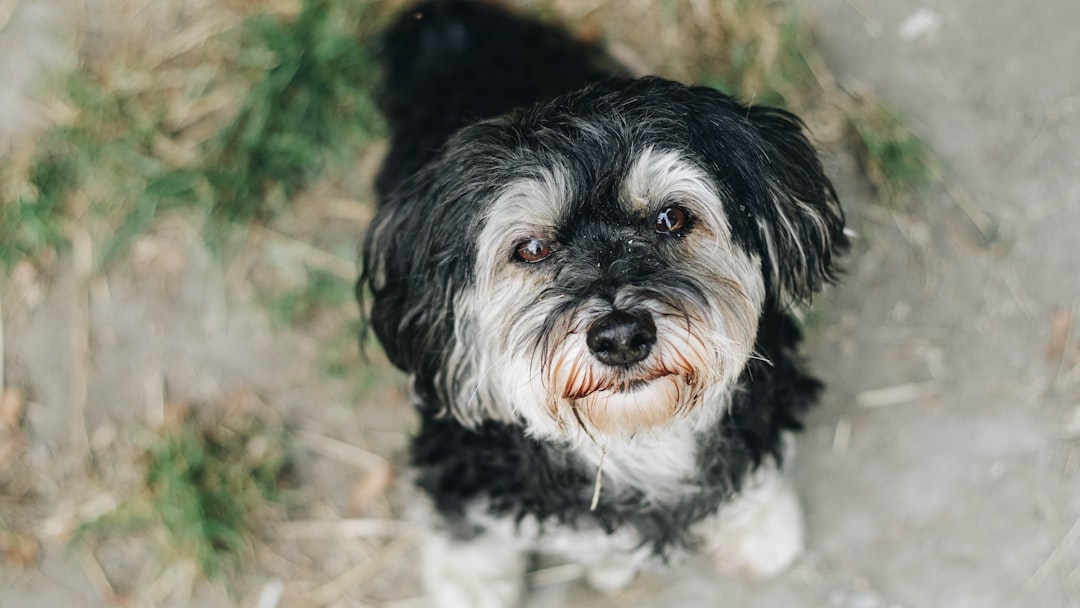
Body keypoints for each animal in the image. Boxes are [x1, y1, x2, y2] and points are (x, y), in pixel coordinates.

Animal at [358, 2, 846, 604]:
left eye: (671, 217)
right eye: (532, 249)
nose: (620, 338)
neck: (637, 437)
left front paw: (761, 528)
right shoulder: (461, 458)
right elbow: (467, 532)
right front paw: (469, 581)